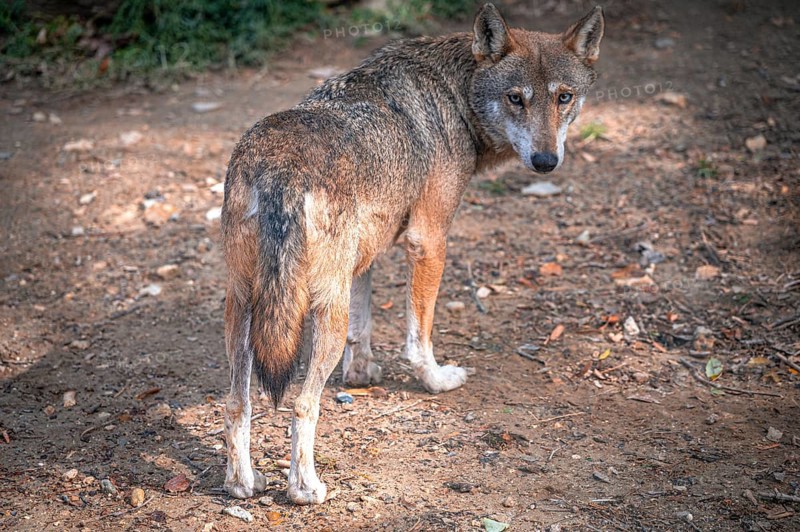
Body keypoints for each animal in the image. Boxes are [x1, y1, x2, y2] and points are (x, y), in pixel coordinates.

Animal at [221, 3, 604, 504]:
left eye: (564, 97)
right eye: (516, 99)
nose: (545, 161)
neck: (455, 95)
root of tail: (279, 169)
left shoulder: (362, 259)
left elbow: (362, 329)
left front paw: (362, 374)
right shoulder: (429, 239)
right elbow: (418, 337)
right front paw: (436, 380)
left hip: (245, 306)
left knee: (236, 403)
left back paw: (242, 483)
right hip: (320, 312)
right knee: (302, 404)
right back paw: (305, 489)